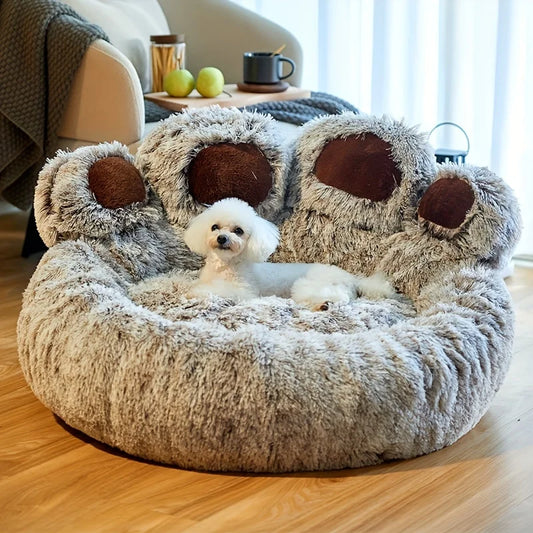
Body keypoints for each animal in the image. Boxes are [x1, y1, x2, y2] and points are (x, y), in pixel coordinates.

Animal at [183, 197, 394, 310]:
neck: (225, 265)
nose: (222, 238)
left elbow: (217, 290)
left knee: (340, 296)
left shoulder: (243, 291)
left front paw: (196, 292)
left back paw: (324, 304)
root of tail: (351, 277)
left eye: (238, 231)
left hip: (308, 284)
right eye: (214, 227)